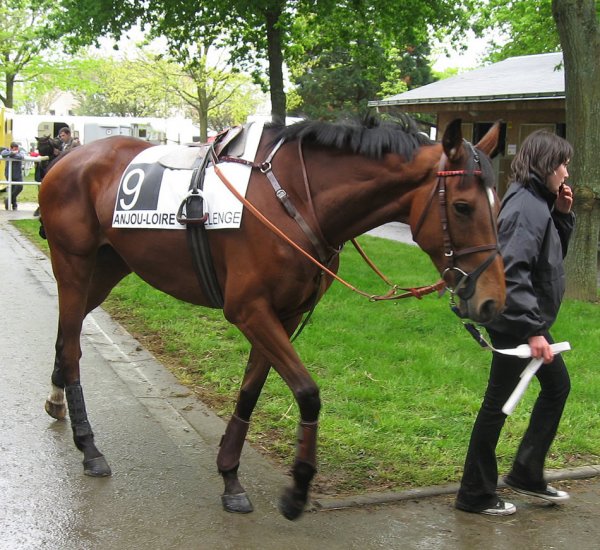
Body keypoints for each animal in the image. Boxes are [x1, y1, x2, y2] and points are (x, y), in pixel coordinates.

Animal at [39, 116, 504, 520]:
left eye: (498, 205)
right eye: (463, 206)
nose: (493, 301)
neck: (296, 199)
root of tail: (68, 158)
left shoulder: (283, 313)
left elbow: (250, 392)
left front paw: (230, 474)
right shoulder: (249, 310)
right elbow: (308, 393)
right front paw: (298, 487)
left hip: (109, 267)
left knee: (65, 338)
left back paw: (58, 399)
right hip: (74, 265)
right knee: (73, 346)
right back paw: (89, 446)